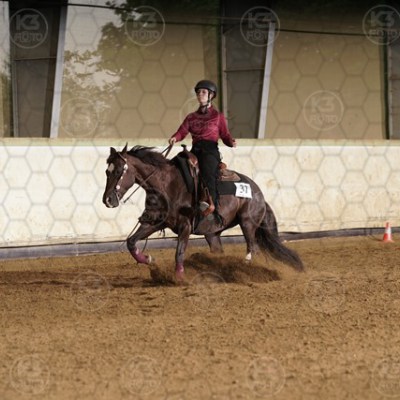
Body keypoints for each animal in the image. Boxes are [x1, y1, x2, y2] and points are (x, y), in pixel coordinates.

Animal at [102, 144, 304, 279]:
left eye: (119, 171)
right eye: (107, 171)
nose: (107, 200)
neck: (167, 184)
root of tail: (258, 193)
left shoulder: (185, 226)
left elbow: (179, 252)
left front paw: (180, 278)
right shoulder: (155, 222)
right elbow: (131, 242)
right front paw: (149, 259)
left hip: (248, 223)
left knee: (252, 248)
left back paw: (242, 269)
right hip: (213, 233)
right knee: (220, 250)